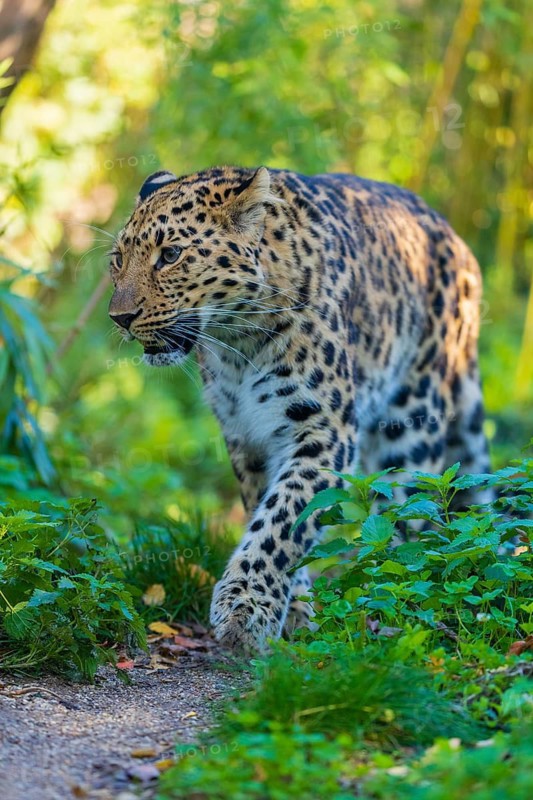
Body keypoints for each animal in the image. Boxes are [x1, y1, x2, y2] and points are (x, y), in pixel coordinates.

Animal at [108, 165, 492, 652]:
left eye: (171, 255)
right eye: (117, 259)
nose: (119, 318)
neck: (238, 343)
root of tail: (458, 243)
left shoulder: (323, 429)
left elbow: (285, 519)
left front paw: (245, 606)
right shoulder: (247, 435)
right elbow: (270, 512)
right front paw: (295, 608)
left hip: (412, 417)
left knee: (411, 511)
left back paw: (393, 590)